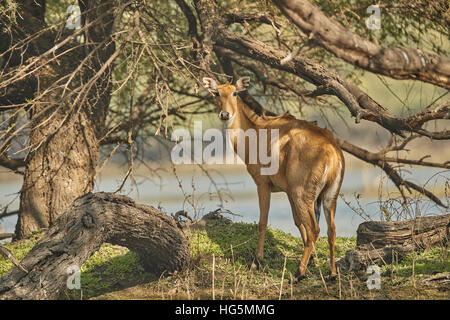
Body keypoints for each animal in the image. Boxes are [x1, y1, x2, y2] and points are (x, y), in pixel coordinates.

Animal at [204, 77, 344, 278]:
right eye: (216, 93)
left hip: (303, 193)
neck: (254, 134)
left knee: (315, 228)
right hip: (328, 196)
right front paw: (311, 259)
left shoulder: (263, 183)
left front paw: (256, 262)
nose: (225, 114)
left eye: (235, 93)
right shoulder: (287, 190)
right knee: (331, 230)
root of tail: (332, 153)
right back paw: (331, 273)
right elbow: (297, 222)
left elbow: (263, 222)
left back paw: (299, 273)